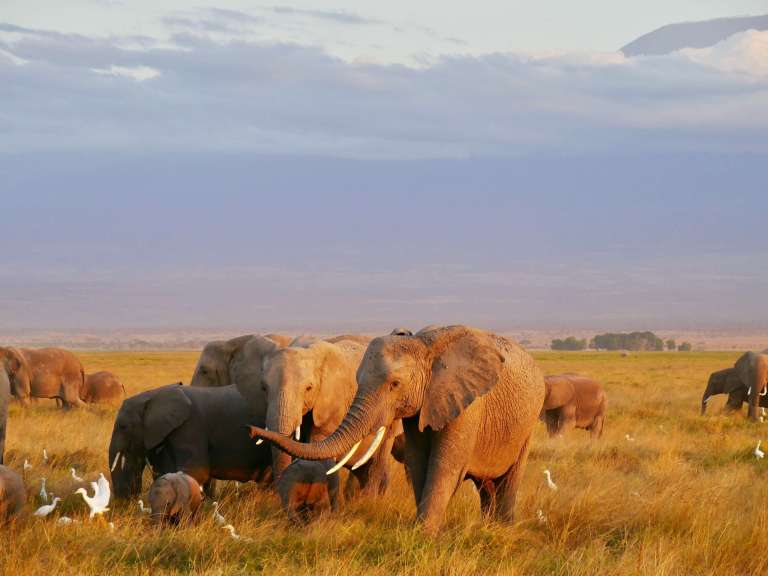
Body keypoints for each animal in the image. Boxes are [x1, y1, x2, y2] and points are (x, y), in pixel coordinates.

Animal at [249, 339, 398, 496]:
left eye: (308, 388)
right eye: (264, 388)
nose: (250, 430)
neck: (310, 351)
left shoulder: (334, 403)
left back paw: (370, 499)